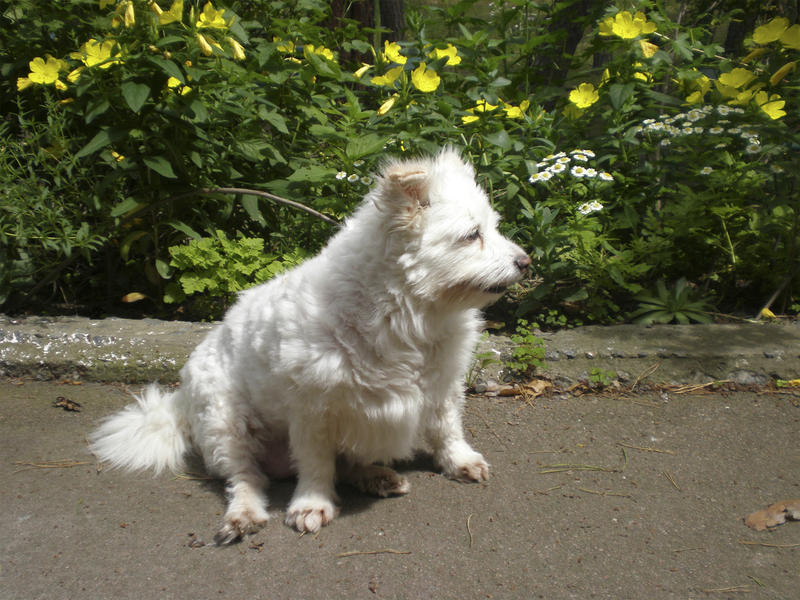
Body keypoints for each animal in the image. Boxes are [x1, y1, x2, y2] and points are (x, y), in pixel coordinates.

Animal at [89, 148, 532, 540]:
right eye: (472, 236)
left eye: (492, 228)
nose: (526, 263)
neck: (409, 313)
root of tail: (177, 405)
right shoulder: (313, 409)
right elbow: (317, 463)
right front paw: (311, 504)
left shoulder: (441, 385)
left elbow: (446, 429)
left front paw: (459, 461)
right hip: (226, 426)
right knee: (247, 478)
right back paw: (245, 515)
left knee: (346, 462)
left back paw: (376, 476)